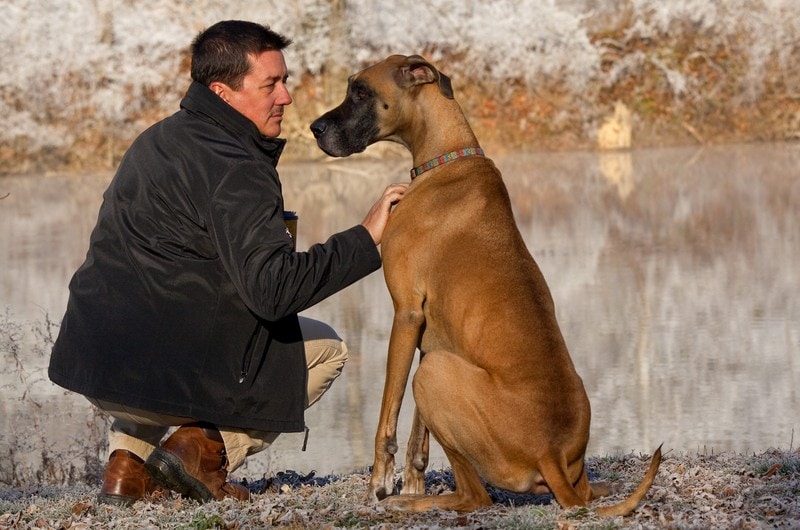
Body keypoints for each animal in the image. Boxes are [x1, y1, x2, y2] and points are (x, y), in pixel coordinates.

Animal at [310, 53, 660, 512]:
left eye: (361, 91)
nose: (314, 128)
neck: (446, 159)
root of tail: (550, 453)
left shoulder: (406, 316)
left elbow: (388, 417)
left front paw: (379, 485)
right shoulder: (431, 335)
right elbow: (418, 440)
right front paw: (414, 482)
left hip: (434, 374)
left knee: (476, 498)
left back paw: (408, 504)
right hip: (447, 371)